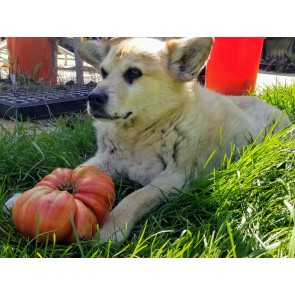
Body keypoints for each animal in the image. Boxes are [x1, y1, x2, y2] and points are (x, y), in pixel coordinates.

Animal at [5, 37, 292, 245]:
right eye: (103, 72)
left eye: (133, 73)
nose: (93, 98)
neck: (140, 134)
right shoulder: (104, 160)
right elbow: (73, 171)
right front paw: (26, 194)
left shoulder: (173, 180)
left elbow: (134, 198)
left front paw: (111, 226)